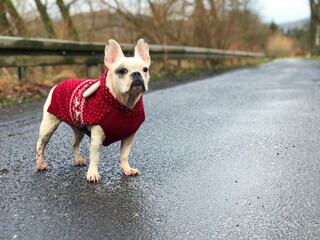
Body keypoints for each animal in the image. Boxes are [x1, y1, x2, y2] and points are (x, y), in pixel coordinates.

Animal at [35, 39, 151, 182]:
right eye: (122, 70)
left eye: (145, 69)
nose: (136, 74)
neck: (124, 105)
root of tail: (57, 84)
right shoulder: (97, 137)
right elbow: (95, 157)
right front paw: (93, 174)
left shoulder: (129, 136)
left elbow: (124, 154)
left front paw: (127, 169)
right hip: (49, 126)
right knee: (41, 144)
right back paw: (40, 164)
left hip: (78, 128)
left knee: (74, 142)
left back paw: (78, 159)